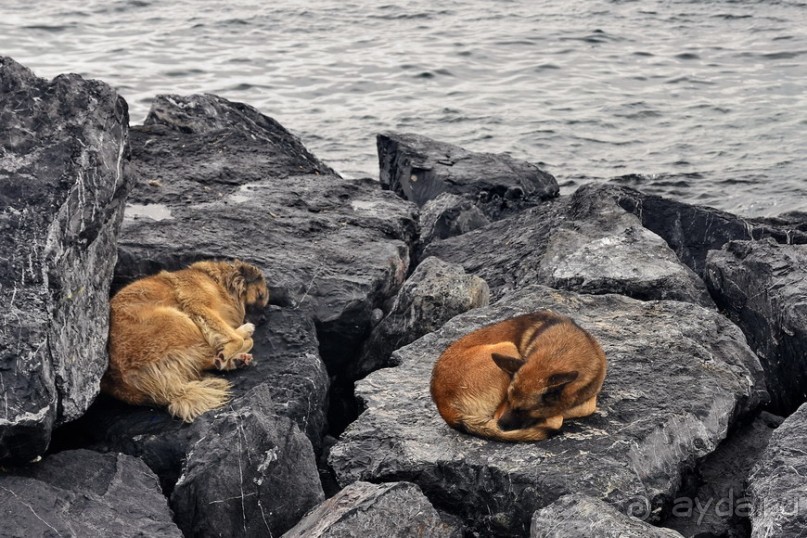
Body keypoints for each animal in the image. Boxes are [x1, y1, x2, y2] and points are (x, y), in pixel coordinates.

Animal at [102, 258, 268, 418]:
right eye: (260, 295)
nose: (264, 320)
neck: (219, 283)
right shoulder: (198, 305)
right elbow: (234, 337)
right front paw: (234, 343)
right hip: (178, 320)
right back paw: (236, 345)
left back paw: (235, 360)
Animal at [430, 310, 608, 440]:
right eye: (509, 401)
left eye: (522, 410)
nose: (500, 426)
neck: (563, 350)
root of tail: (443, 404)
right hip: (506, 346)